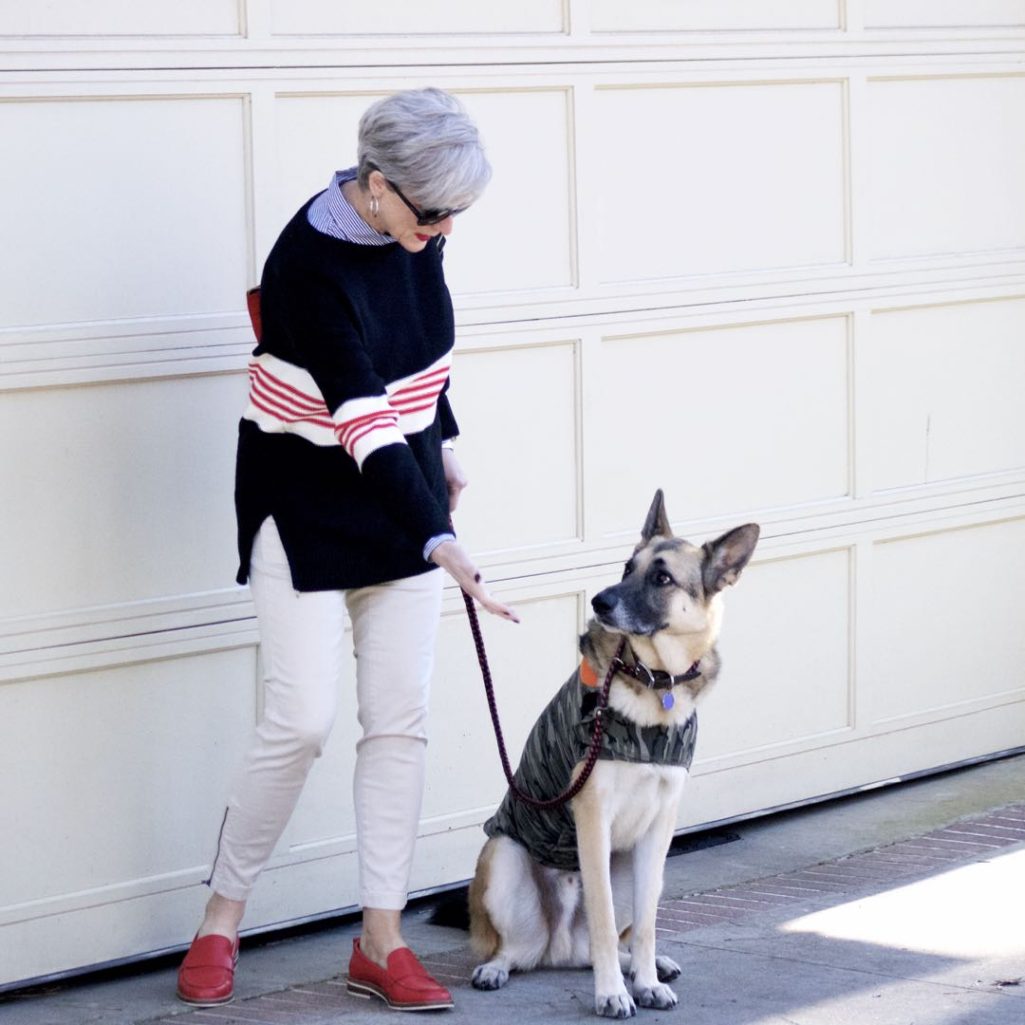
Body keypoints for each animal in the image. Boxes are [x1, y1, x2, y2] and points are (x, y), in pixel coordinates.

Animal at [469, 494, 758, 1016]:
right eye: (627, 567)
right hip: (503, 857)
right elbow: (604, 921)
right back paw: (498, 967)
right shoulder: (593, 817)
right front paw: (611, 994)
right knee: (519, 950)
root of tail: (561, 948)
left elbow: (645, 925)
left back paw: (644, 967)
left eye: (662, 578)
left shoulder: (660, 829)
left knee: (609, 938)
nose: (600, 601)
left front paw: (645, 981)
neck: (655, 681)